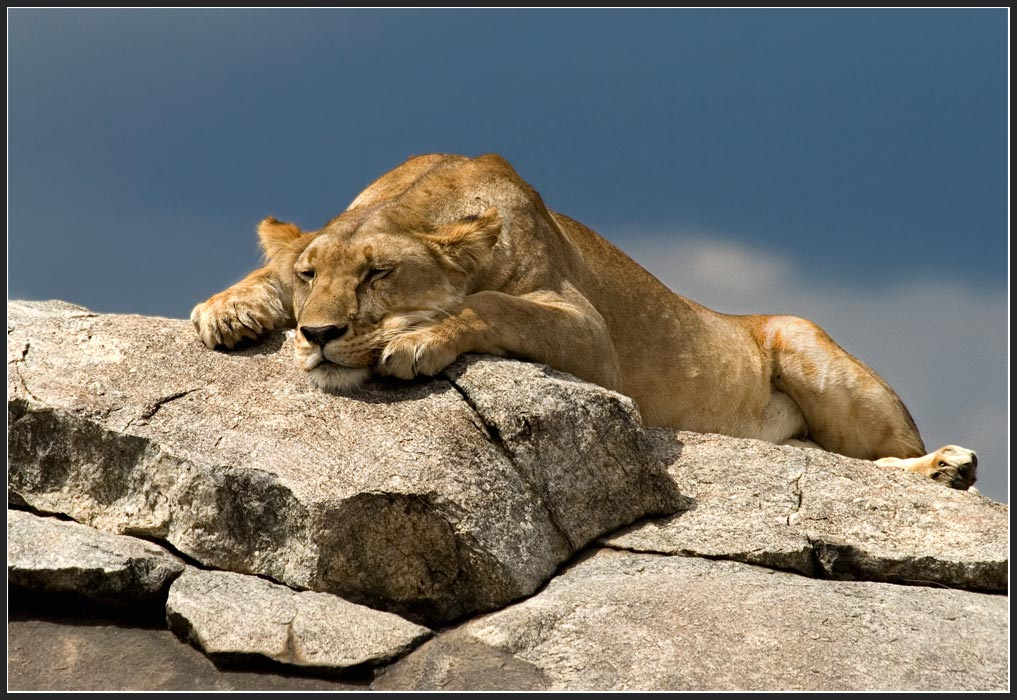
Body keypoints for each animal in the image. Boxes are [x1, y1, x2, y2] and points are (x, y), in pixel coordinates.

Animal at [191, 153, 977, 490]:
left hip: (804, 338)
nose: (319, 337)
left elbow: (490, 304)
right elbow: (257, 276)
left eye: (377, 275)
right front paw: (226, 309)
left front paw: (415, 340)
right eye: (310, 276)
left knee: (883, 454)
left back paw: (945, 466)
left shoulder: (589, 335)